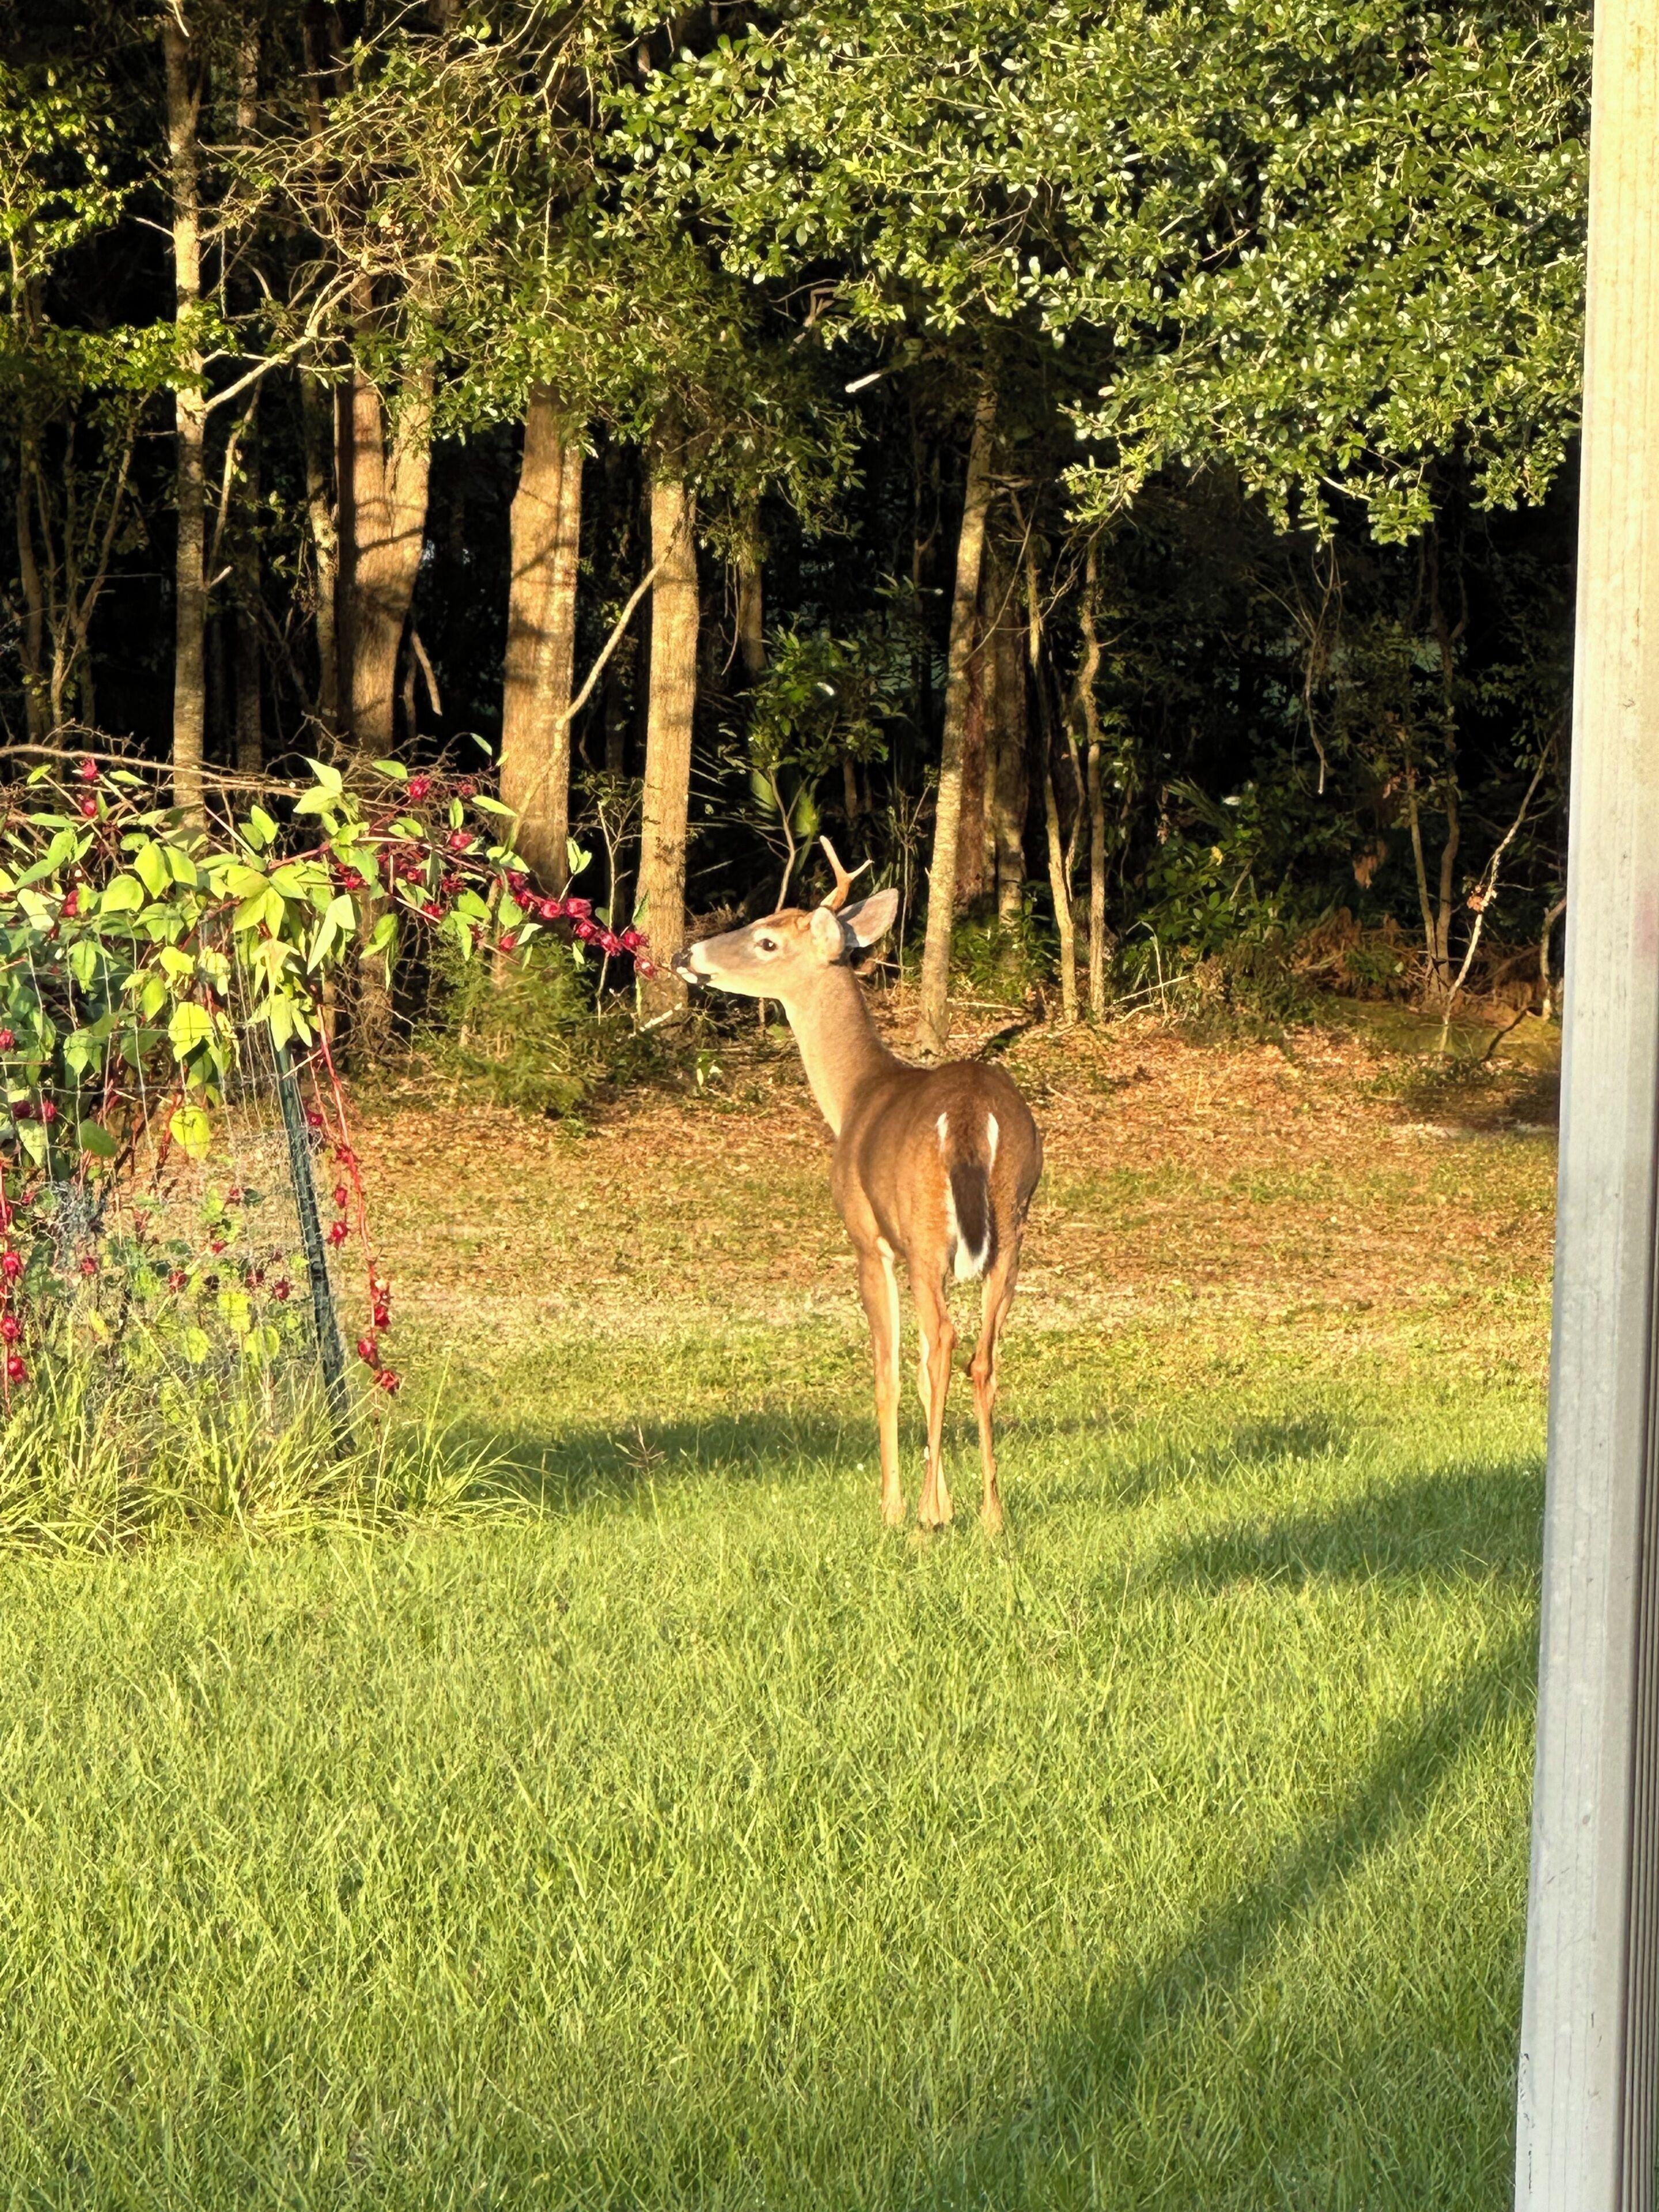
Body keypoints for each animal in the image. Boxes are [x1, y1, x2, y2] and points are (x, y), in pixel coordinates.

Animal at [672, 839, 1043, 1533]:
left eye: (766, 941)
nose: (687, 956)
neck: (854, 1096)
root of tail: (973, 1117)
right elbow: (921, 1371)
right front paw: (947, 1504)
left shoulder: (869, 1238)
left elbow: (889, 1371)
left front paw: (900, 1507)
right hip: (1014, 1223)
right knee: (983, 1355)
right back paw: (992, 1516)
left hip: (925, 1229)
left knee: (943, 1344)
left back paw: (921, 1518)